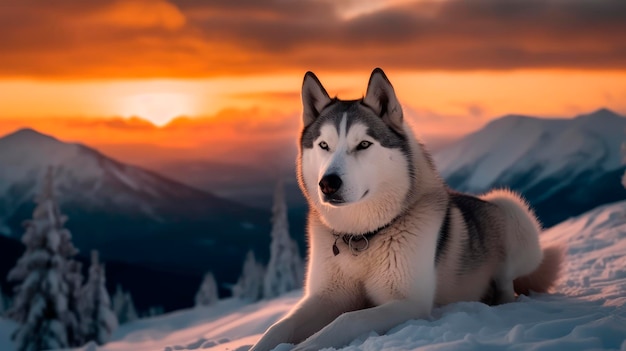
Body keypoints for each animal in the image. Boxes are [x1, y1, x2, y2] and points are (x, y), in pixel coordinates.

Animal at [249, 68, 560, 351]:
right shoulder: (327, 296)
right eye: (324, 145)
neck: (362, 237)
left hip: (510, 209)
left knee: (507, 280)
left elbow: (347, 320)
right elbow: (277, 328)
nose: (327, 184)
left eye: (364, 144)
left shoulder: (408, 303)